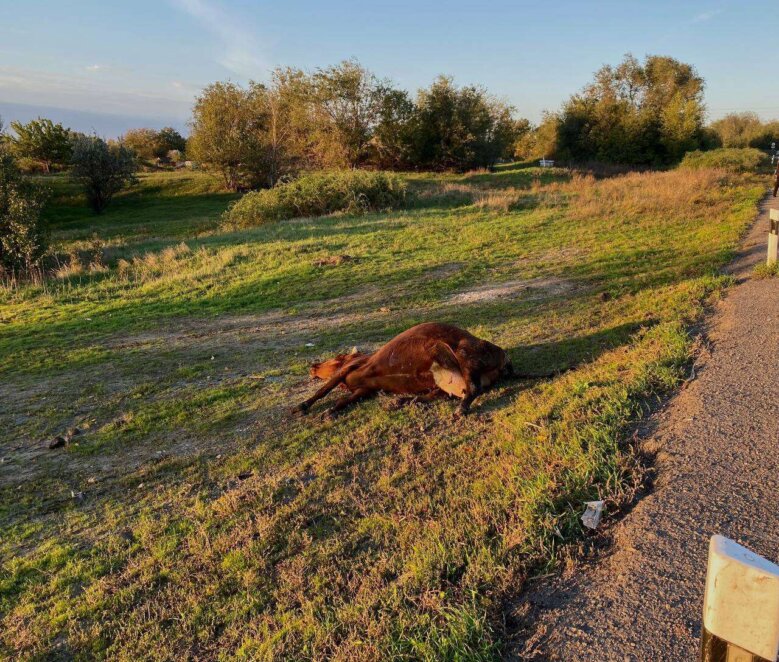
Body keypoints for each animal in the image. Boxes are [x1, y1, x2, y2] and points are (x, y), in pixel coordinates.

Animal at [292, 324, 512, 422]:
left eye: (337, 356)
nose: (313, 366)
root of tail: (504, 359)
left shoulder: (349, 368)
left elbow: (323, 390)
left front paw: (301, 406)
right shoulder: (364, 390)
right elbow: (342, 401)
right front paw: (331, 411)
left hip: (465, 356)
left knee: (473, 389)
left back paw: (461, 409)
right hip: (445, 382)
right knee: (441, 394)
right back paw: (402, 401)